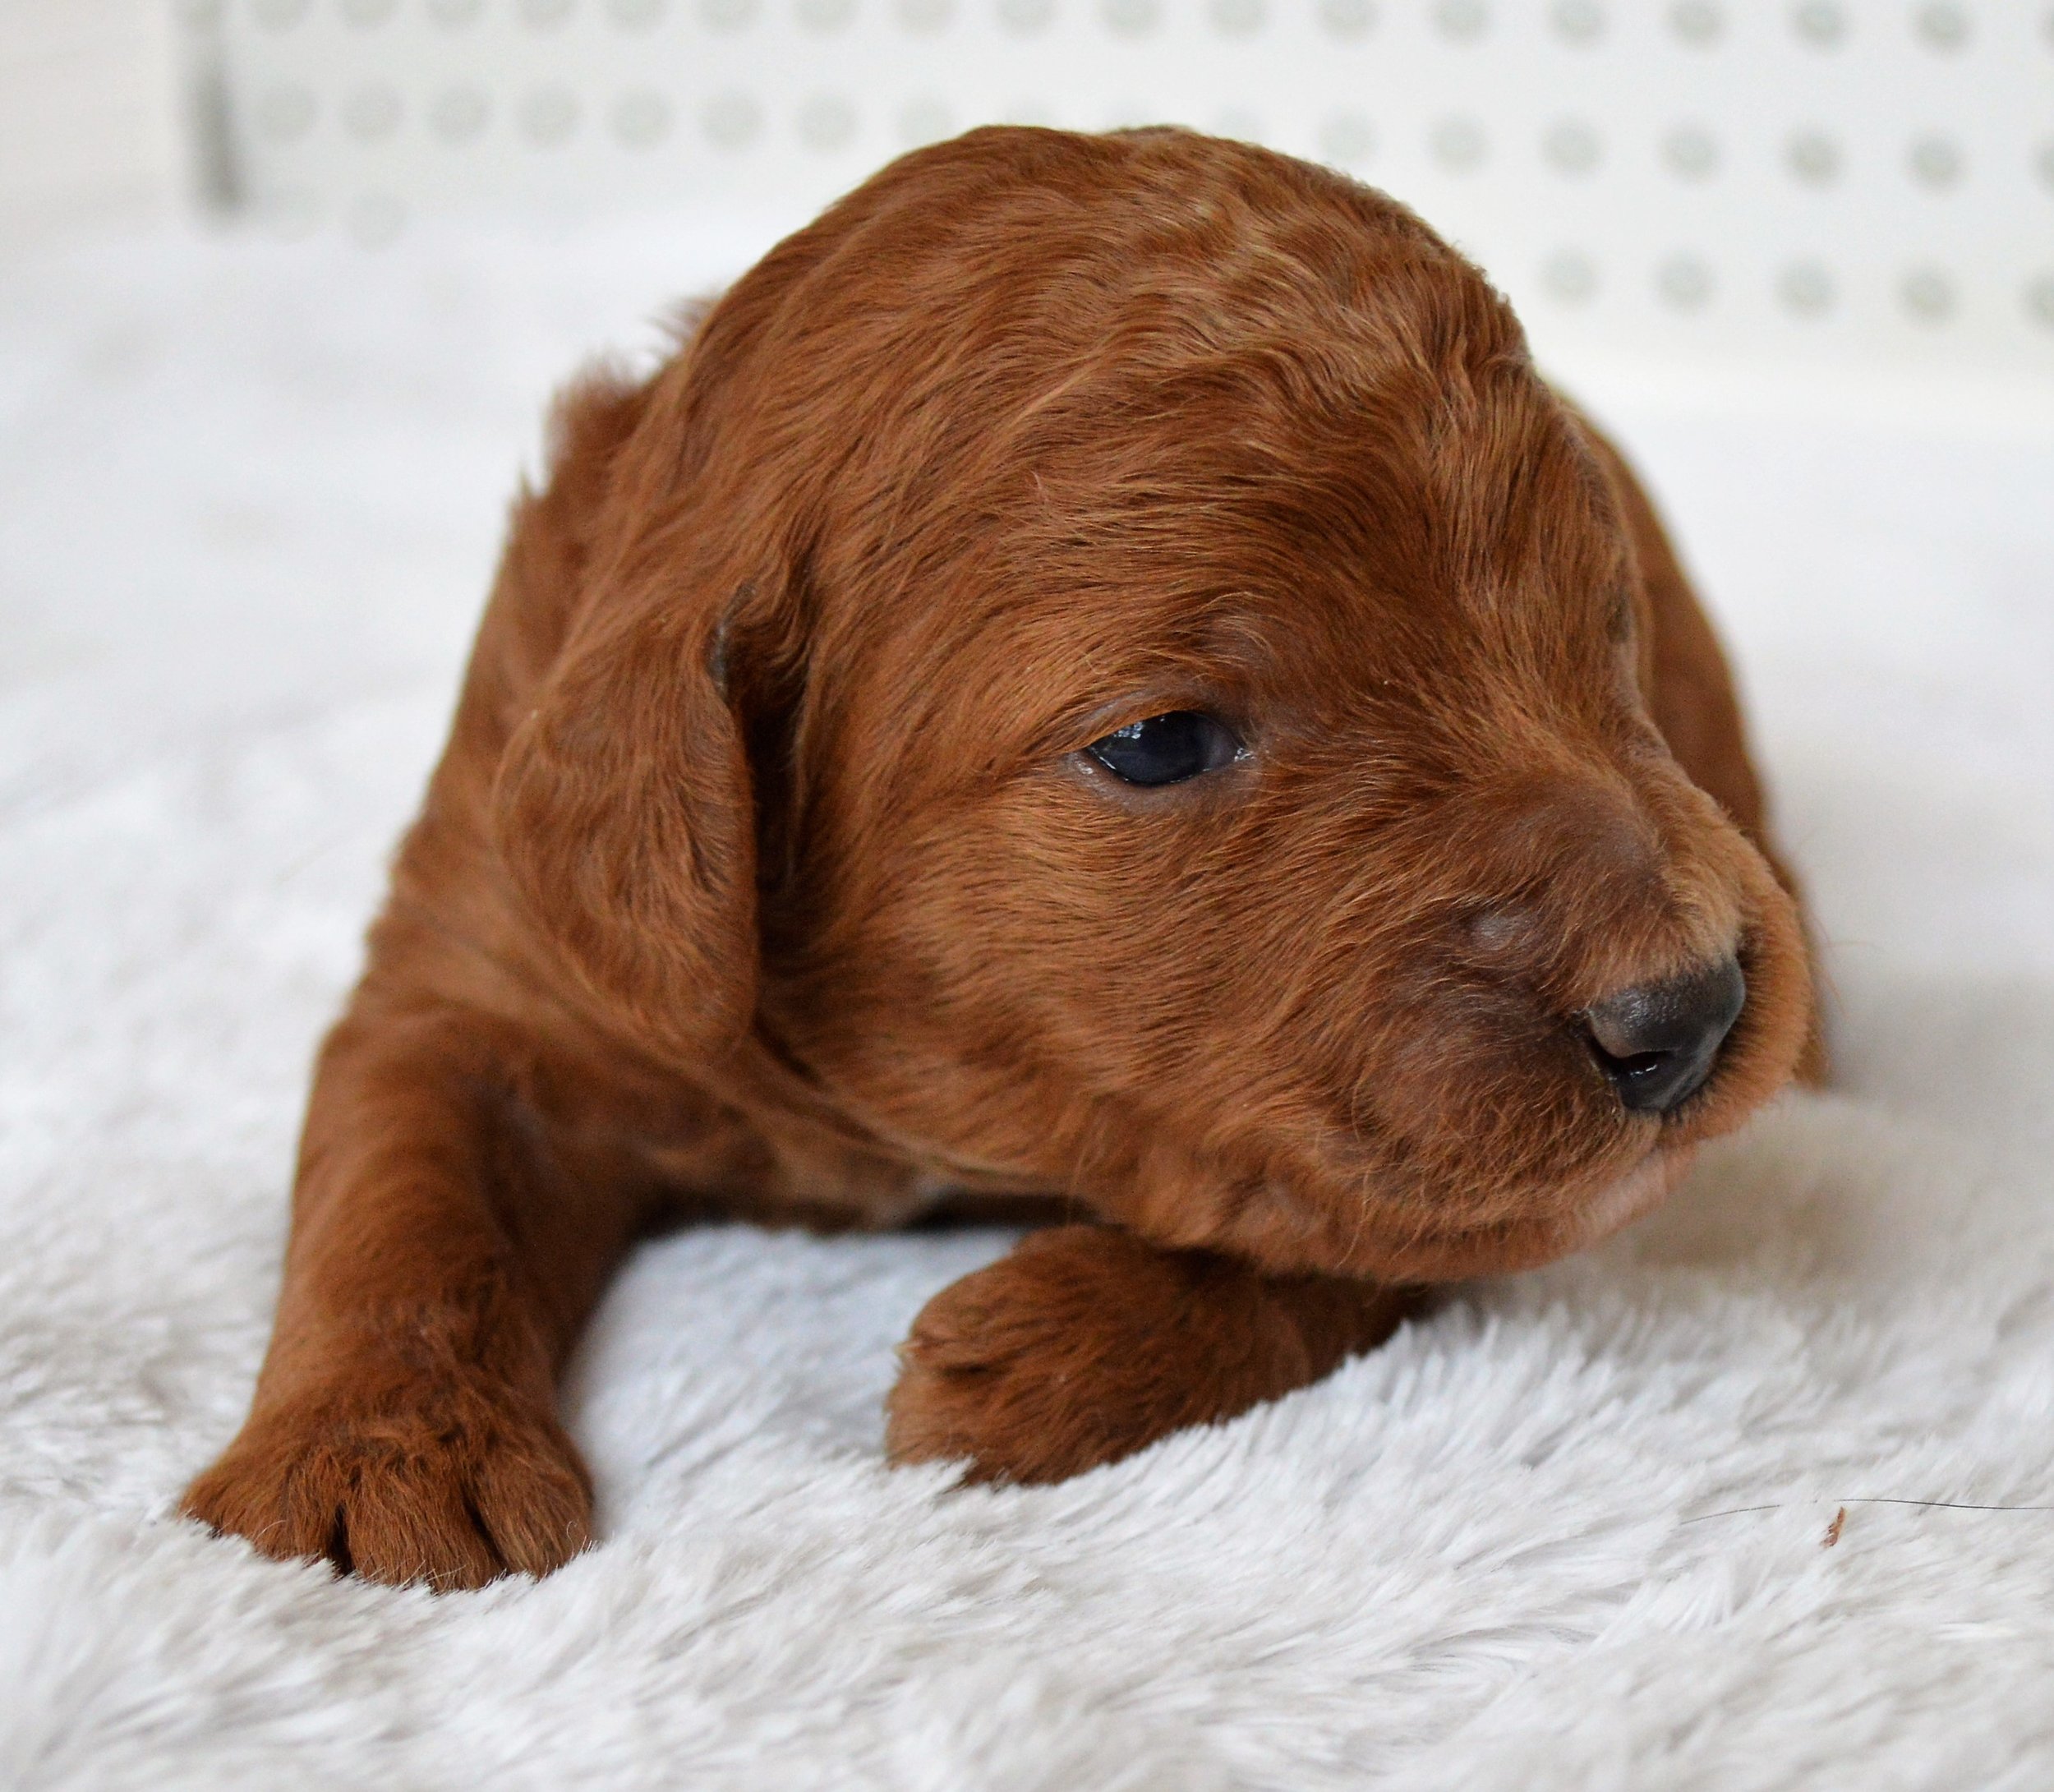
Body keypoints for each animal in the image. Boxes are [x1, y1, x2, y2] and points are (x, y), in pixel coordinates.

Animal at [181, 126, 1816, 1586]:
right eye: (1157, 742)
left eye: (1607, 621)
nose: (1693, 1012)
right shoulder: (486, 958)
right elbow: (400, 1190)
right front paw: (378, 1458)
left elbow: (1358, 1244)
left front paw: (1063, 1353)